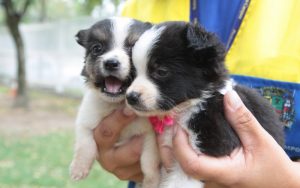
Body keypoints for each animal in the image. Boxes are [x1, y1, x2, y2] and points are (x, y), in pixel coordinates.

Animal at [69, 17, 162, 188]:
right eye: (97, 48)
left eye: (133, 49)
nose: (111, 63)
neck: (117, 104)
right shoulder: (84, 120)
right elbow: (85, 144)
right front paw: (79, 168)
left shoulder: (150, 136)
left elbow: (149, 162)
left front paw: (151, 181)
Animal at [125, 21, 284, 187]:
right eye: (134, 72)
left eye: (161, 71)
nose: (131, 97)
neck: (185, 109)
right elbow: (149, 158)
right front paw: (150, 178)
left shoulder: (210, 143)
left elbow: (179, 180)